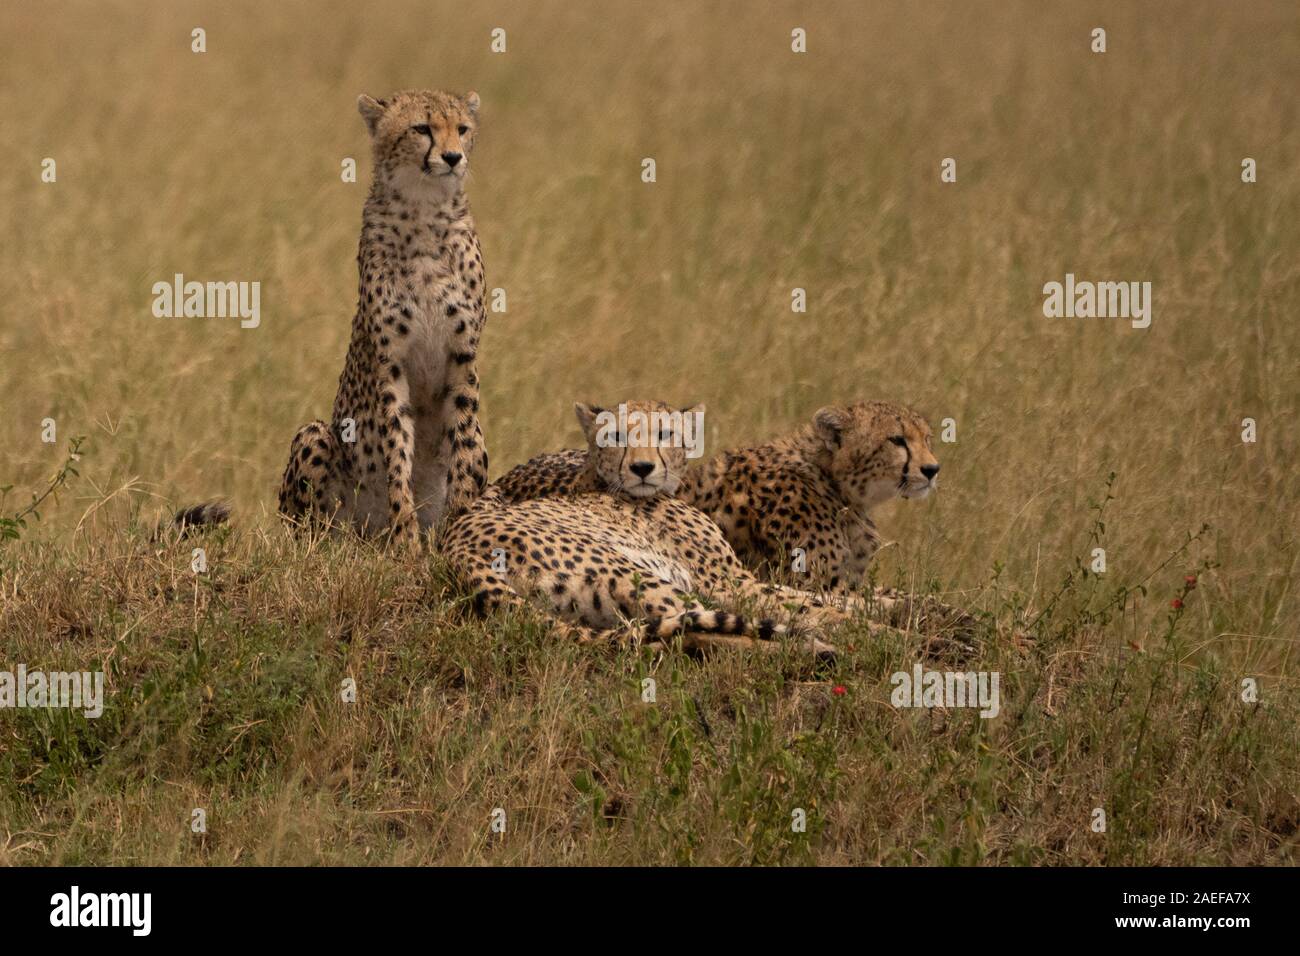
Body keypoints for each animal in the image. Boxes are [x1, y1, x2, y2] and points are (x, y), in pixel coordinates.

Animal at [278, 89, 488, 546]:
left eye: (462, 128)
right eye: (421, 128)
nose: (452, 157)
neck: (424, 210)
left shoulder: (463, 358)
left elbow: (462, 446)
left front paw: (463, 522)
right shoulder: (390, 364)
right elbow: (396, 450)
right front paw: (406, 540)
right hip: (315, 438)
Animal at [447, 398, 863, 658]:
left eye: (665, 434)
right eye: (615, 437)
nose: (642, 467)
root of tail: (458, 551)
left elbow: (827, 597)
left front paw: (874, 609)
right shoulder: (729, 582)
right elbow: (812, 605)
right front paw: (872, 630)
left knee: (680, 635)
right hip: (644, 579)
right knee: (697, 627)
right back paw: (812, 649)